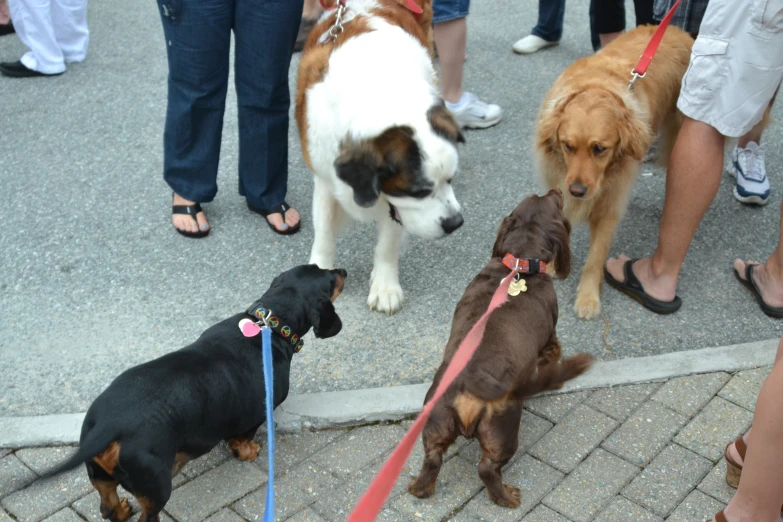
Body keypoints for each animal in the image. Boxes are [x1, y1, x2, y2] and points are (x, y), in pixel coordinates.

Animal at [536, 25, 696, 316]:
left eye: (599, 149)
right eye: (567, 146)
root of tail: (677, 29)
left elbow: (595, 258)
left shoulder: (610, 205)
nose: (577, 190)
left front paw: (588, 297)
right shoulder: (560, 185)